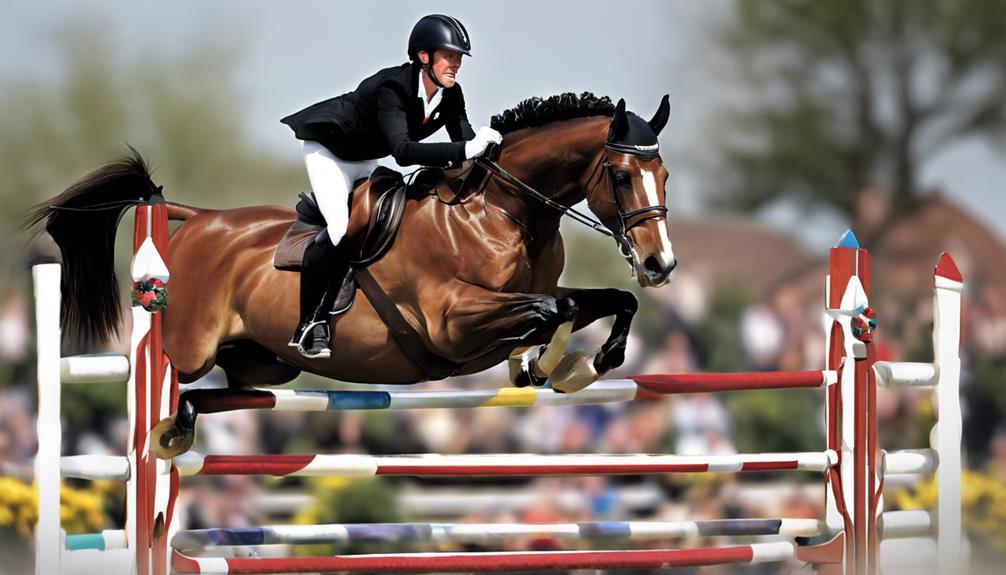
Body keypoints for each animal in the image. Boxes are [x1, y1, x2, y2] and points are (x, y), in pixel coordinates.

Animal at [27, 92, 680, 458]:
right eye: (622, 175)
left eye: (665, 175)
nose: (660, 264)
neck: (503, 211)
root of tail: (197, 219)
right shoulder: (451, 323)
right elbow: (555, 310)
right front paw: (551, 364)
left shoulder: (525, 296)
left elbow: (605, 300)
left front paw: (573, 365)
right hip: (190, 345)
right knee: (162, 368)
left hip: (268, 362)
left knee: (216, 394)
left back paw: (179, 427)